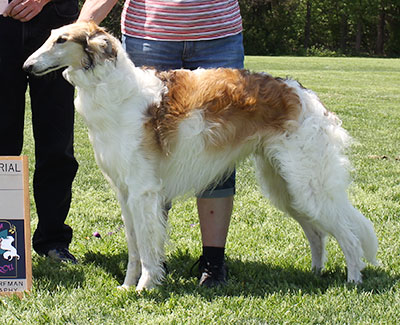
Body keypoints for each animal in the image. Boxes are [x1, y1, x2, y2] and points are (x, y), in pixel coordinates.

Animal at [24, 22, 378, 292]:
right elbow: (134, 248)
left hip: (308, 184)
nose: (26, 67)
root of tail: (304, 94)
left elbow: (148, 246)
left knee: (349, 236)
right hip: (285, 186)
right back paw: (317, 273)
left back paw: (353, 280)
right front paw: (127, 286)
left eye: (61, 40)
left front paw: (145, 287)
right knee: (317, 233)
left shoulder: (143, 191)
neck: (115, 91)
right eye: (50, 36)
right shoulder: (124, 192)